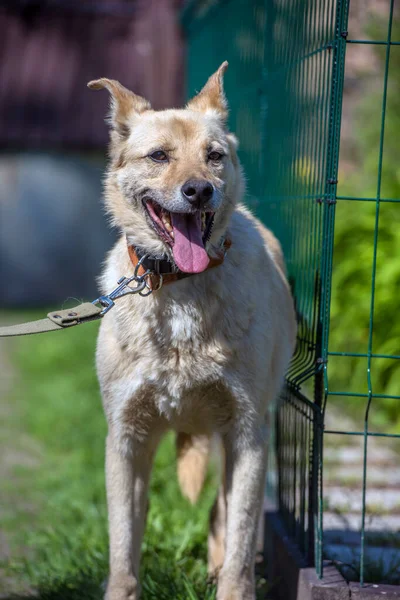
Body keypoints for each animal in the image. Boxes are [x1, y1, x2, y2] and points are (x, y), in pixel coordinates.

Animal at [90, 62, 296, 600]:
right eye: (159, 155)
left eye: (214, 156)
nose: (199, 190)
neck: (179, 284)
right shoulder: (127, 438)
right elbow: (123, 545)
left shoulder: (247, 433)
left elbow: (241, 540)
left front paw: (231, 582)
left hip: (234, 441)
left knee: (223, 516)